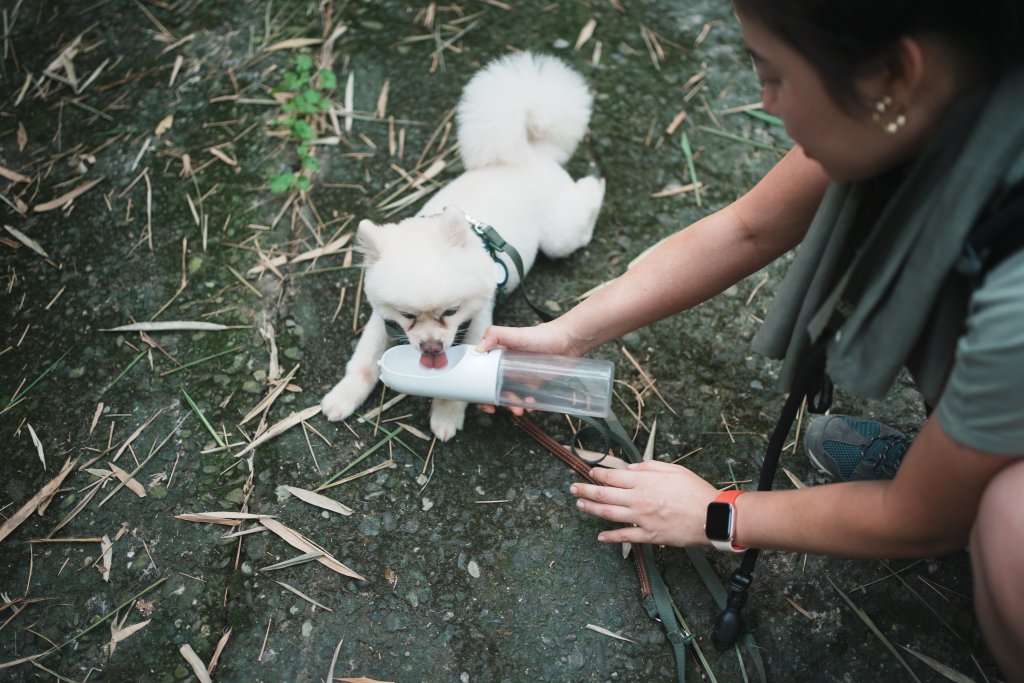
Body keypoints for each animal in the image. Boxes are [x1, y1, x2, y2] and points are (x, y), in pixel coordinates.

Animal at [323, 50, 602, 440]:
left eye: (451, 311)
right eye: (407, 316)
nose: (430, 347)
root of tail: (529, 153)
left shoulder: (480, 320)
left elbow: (461, 377)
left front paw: (446, 413)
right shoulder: (380, 319)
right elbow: (363, 360)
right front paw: (344, 396)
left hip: (560, 237)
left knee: (587, 205)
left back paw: (596, 182)